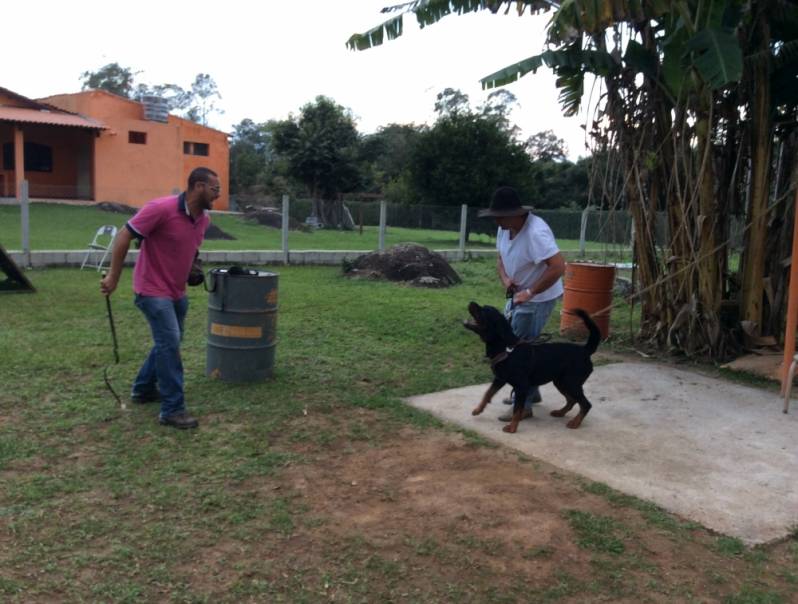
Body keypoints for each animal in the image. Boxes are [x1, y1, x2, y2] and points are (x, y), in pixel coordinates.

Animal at [466, 302, 604, 434]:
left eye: (485, 311)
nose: (471, 302)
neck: (507, 348)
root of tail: (585, 350)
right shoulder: (499, 379)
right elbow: (487, 393)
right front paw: (478, 410)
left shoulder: (521, 387)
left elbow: (517, 409)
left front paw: (512, 428)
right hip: (561, 382)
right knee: (572, 400)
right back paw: (560, 412)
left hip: (571, 383)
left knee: (586, 404)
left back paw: (575, 423)